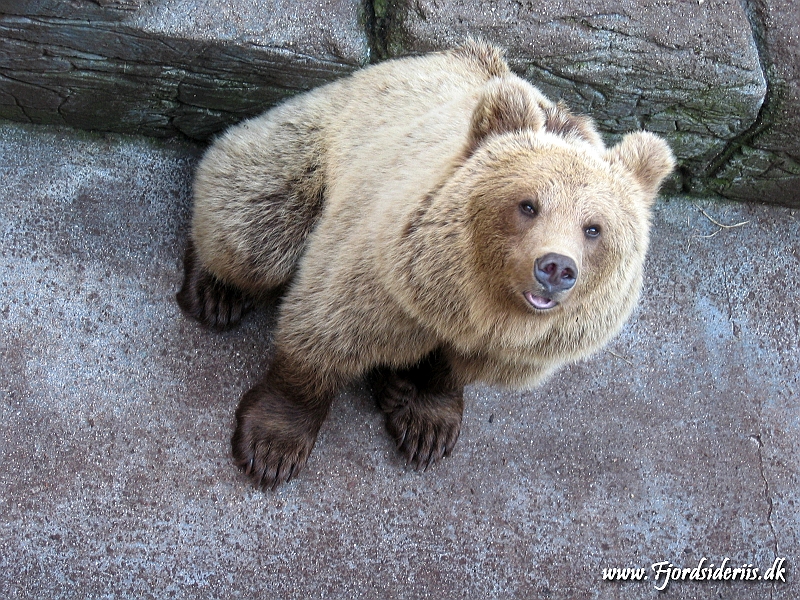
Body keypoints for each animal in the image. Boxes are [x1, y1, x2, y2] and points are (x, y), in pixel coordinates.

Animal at [177, 41, 676, 488]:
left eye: (594, 228)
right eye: (528, 205)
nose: (555, 267)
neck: (471, 304)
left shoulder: (493, 345)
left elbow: (451, 372)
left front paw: (426, 427)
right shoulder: (383, 267)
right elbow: (324, 331)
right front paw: (271, 448)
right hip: (310, 148)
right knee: (254, 226)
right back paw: (215, 292)